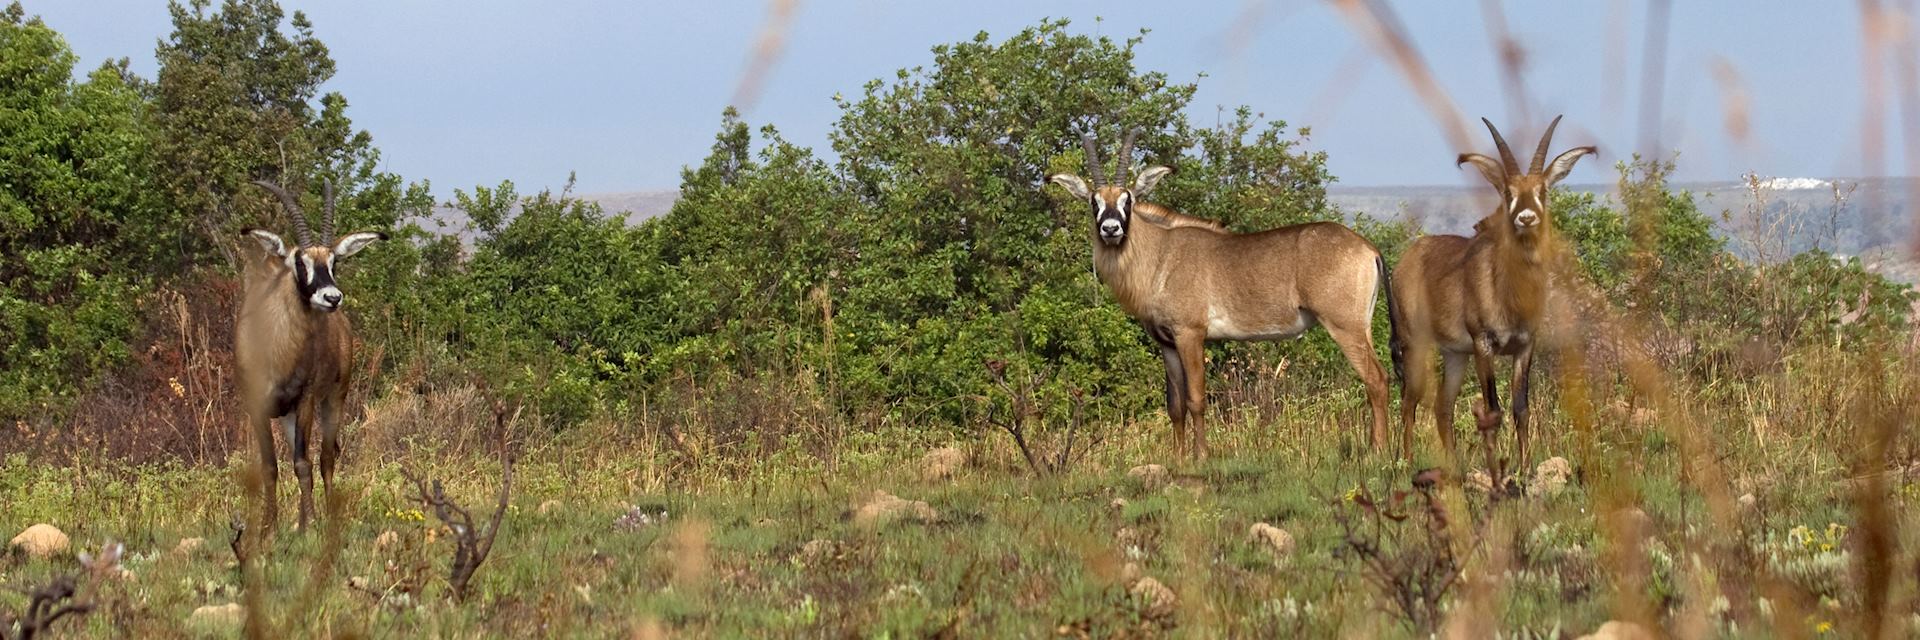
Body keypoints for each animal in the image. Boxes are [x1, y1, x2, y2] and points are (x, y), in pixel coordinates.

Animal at [235, 179, 385, 526]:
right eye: (298, 261)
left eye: (334, 262)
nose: (332, 297)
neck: (275, 349)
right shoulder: (257, 405)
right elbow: (270, 467)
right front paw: (269, 526)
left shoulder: (304, 400)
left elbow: (303, 464)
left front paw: (310, 525)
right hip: (288, 414)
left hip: (332, 399)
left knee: (325, 458)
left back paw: (327, 518)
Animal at [1052, 129, 1397, 459]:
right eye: (1094, 201)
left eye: (1129, 199)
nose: (1111, 229)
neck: (1161, 254)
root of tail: (1368, 248)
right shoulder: (1167, 343)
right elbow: (1174, 405)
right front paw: (1177, 459)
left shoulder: (1191, 334)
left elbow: (1195, 399)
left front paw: (1201, 456)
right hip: (1360, 327)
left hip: (1344, 326)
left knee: (1376, 379)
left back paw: (1378, 450)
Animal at [1390, 115, 1597, 468]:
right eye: (1508, 191)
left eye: (1542, 190)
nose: (1526, 218)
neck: (1511, 292)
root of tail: (1407, 258)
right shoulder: (1484, 344)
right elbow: (1493, 409)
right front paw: (1497, 468)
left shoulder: (1524, 346)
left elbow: (1521, 409)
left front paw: (1526, 468)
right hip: (1416, 343)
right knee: (1409, 401)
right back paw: (1406, 461)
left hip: (1456, 354)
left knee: (1442, 405)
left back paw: (1453, 465)